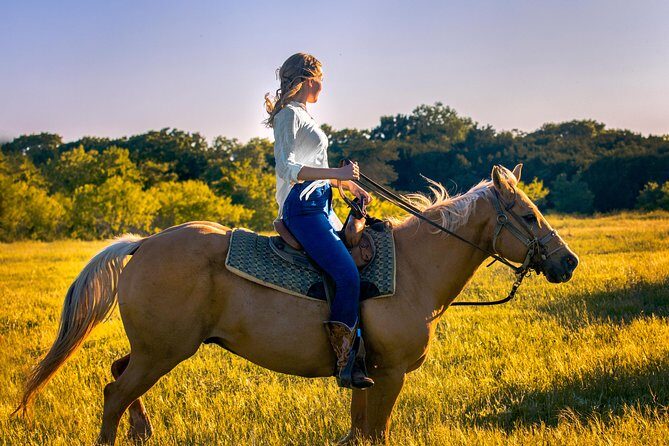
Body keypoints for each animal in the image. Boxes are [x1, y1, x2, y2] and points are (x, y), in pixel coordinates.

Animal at [16, 164, 578, 445]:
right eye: (529, 215)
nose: (568, 262)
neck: (414, 269)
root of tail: (143, 244)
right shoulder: (392, 373)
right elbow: (376, 434)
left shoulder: (365, 373)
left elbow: (358, 434)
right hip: (163, 351)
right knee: (114, 393)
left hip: (156, 349)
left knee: (116, 376)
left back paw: (142, 430)